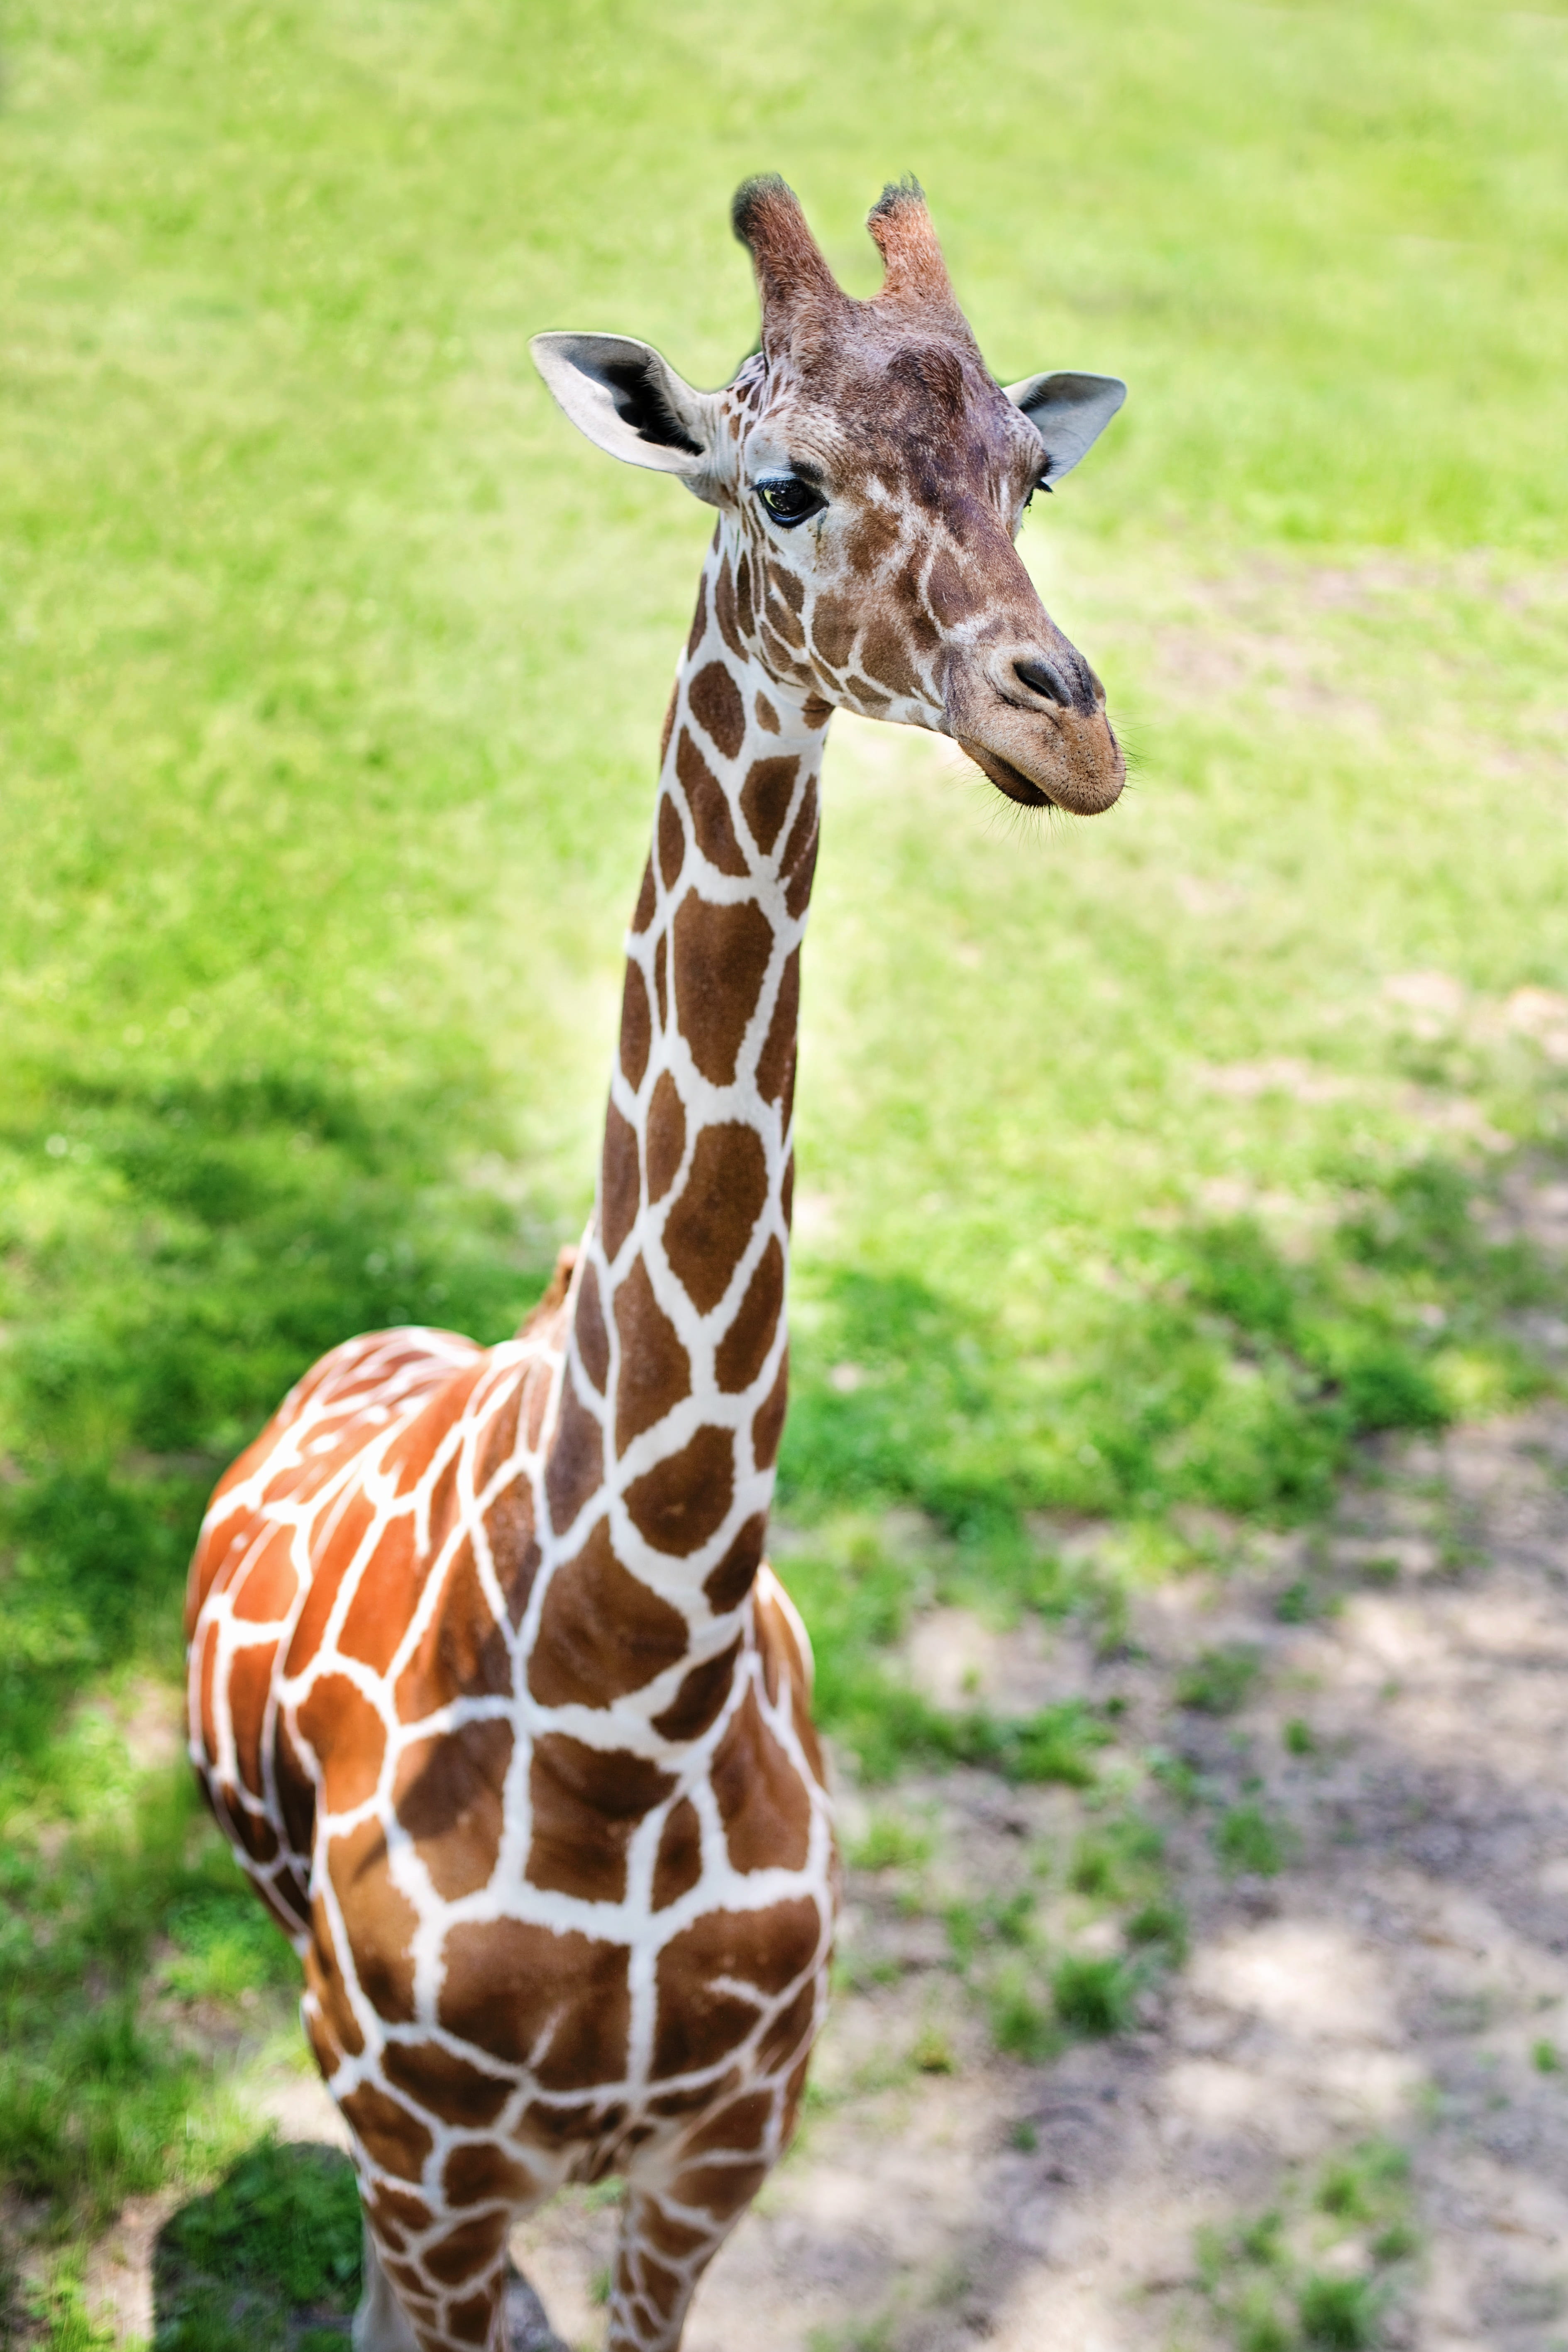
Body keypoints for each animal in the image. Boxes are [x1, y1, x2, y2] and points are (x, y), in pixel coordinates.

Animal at [185, 175, 1126, 2352]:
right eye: (778, 482)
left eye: (1031, 471)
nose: (1068, 731)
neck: (628, 1686)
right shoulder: (435, 2149)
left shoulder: (723, 2140)